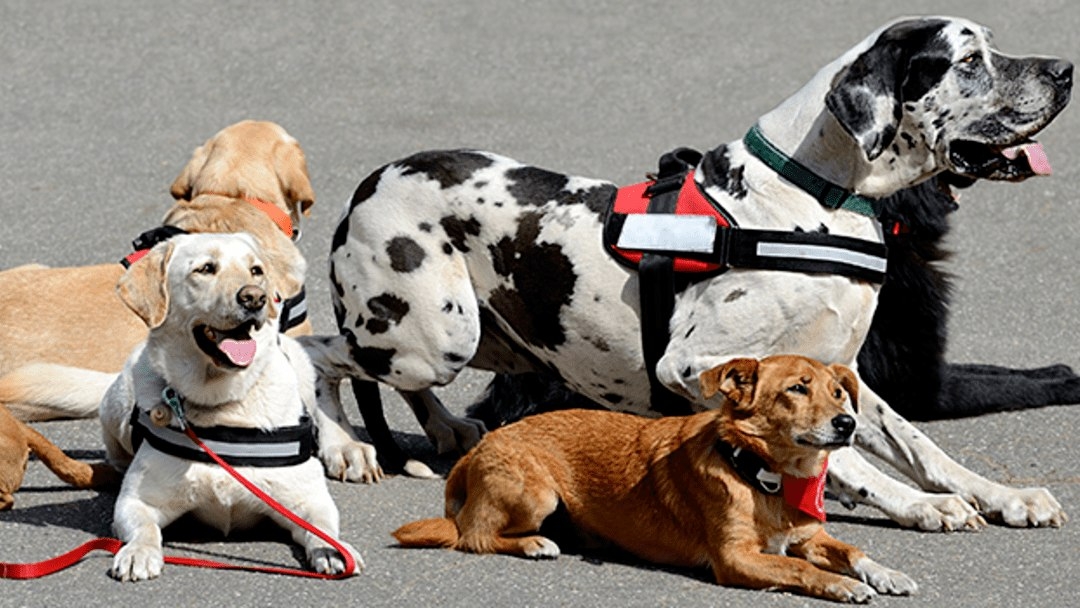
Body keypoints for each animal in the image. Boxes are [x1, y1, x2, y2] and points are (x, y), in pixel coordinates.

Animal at [304, 16, 1071, 533]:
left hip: (474, 341)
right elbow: (849, 458)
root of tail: (372, 179)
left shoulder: (850, 377)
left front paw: (1000, 495)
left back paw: (446, 432)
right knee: (315, 351)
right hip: (429, 337)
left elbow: (921, 446)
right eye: (968, 60)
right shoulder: (695, 365)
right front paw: (920, 506)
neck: (815, 198)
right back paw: (345, 447)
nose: (1065, 69)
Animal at [393, 356, 915, 604]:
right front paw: (841, 586)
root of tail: (478, 447)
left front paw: (885, 573)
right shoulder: (736, 559)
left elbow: (851, 550)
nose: (847, 424)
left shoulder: (809, 535)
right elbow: (802, 570)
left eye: (838, 392)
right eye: (797, 389)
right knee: (474, 536)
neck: (762, 475)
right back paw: (533, 543)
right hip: (536, 494)